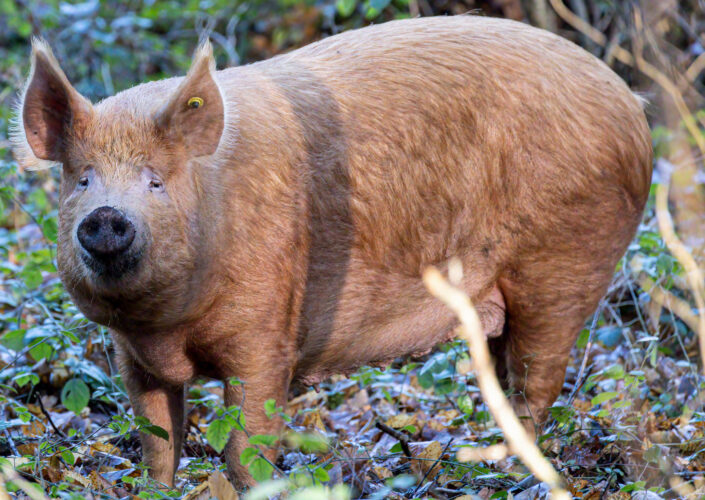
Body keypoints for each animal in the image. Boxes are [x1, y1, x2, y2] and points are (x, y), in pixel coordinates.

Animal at [12, 15, 652, 488]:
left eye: (155, 182)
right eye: (82, 180)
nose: (105, 217)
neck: (166, 330)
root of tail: (631, 105)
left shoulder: (267, 329)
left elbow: (248, 440)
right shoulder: (132, 354)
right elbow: (157, 440)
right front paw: (157, 487)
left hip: (563, 262)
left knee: (537, 381)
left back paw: (516, 471)